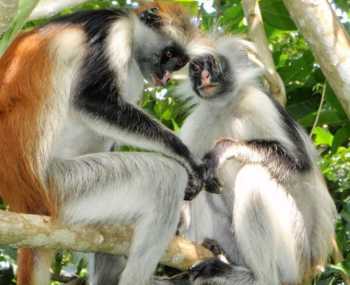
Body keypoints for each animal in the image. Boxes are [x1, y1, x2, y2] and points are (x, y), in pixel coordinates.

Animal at [0, 2, 219, 284]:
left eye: (179, 62)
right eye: (168, 54)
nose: (167, 76)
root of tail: (25, 201)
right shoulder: (114, 30)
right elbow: (93, 99)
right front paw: (187, 158)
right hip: (64, 185)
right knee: (166, 178)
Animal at [163, 36, 338, 282]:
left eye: (213, 65)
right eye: (196, 68)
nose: (204, 77)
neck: (225, 108)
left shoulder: (258, 102)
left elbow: (299, 168)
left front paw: (223, 149)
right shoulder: (196, 122)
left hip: (295, 253)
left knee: (253, 175)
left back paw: (258, 277)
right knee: (202, 185)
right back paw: (214, 250)